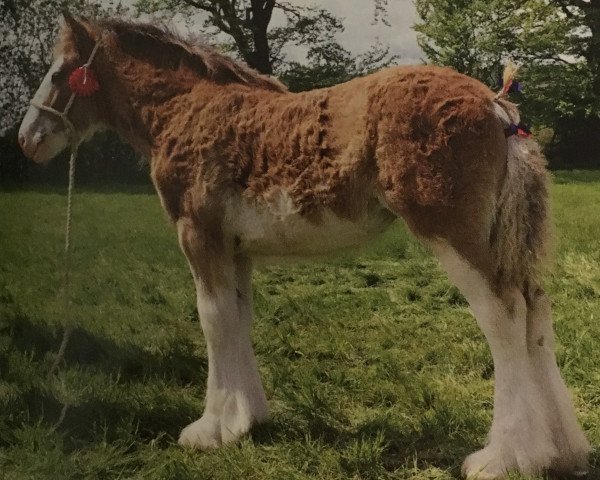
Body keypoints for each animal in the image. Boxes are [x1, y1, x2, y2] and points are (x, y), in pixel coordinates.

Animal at [18, 13, 592, 478]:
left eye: (59, 73)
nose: (27, 140)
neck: (185, 110)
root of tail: (497, 106)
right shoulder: (236, 250)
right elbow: (237, 319)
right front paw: (247, 420)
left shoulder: (198, 235)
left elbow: (212, 320)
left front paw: (209, 430)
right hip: (501, 241)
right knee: (537, 314)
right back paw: (561, 452)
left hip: (454, 235)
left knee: (504, 318)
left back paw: (505, 458)